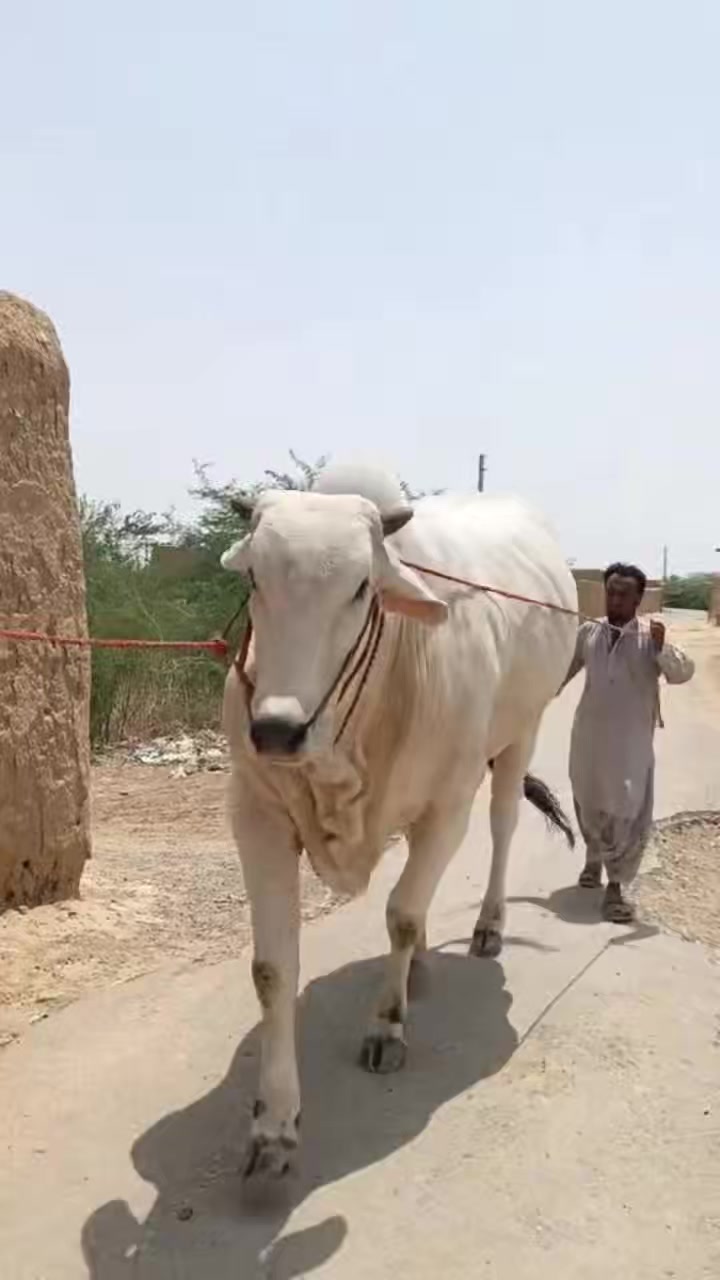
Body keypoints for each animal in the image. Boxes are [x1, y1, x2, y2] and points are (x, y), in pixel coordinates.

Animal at [221, 463, 577, 1178]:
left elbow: (403, 915)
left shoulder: (448, 806)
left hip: (521, 733)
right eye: (254, 579)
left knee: (501, 826)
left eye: (362, 587)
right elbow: (273, 968)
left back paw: (487, 927)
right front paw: (274, 1124)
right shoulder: (256, 814)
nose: (276, 728)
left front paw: (387, 1025)